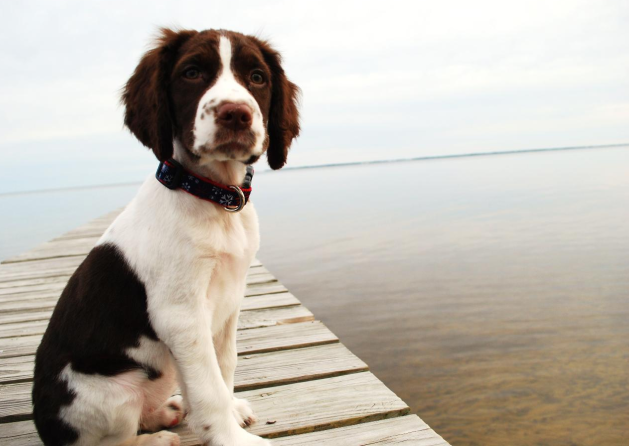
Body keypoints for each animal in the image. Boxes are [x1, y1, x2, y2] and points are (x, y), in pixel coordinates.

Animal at [31, 28, 300, 446]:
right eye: (191, 73)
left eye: (257, 77)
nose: (236, 113)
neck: (212, 196)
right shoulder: (180, 314)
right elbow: (208, 386)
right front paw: (230, 437)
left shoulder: (229, 301)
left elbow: (223, 365)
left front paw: (231, 412)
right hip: (110, 394)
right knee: (110, 440)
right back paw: (156, 437)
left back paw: (167, 412)